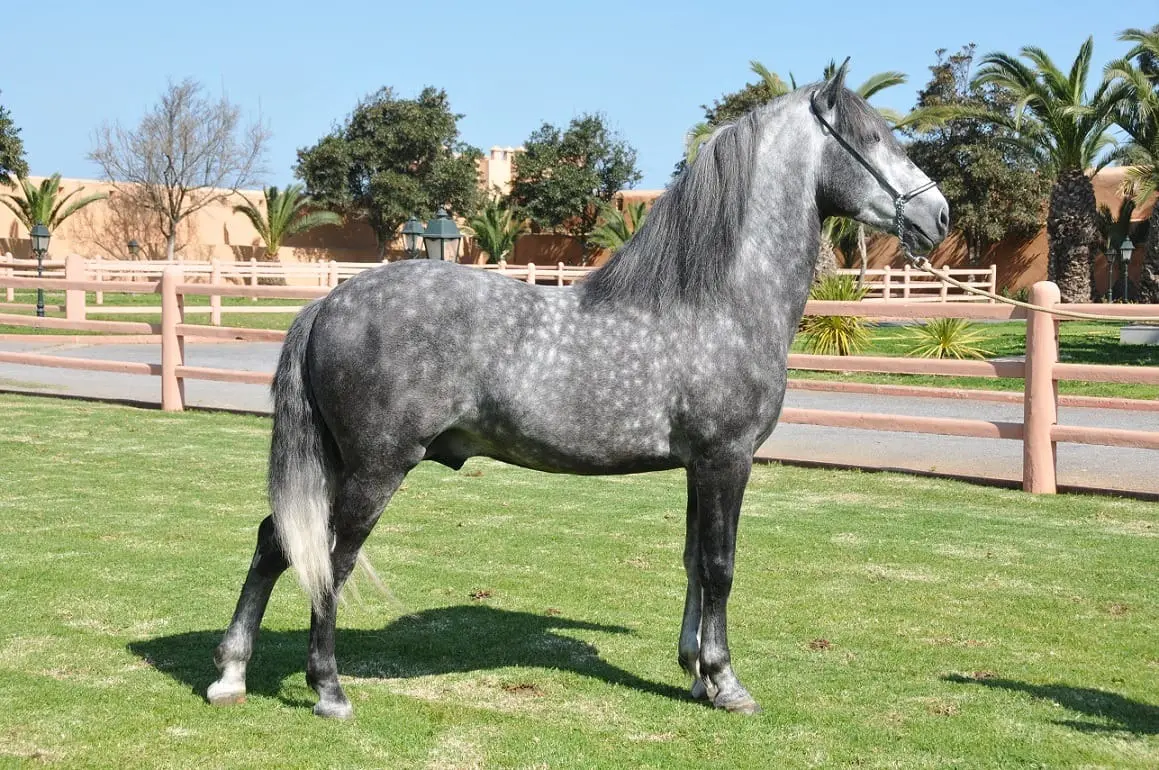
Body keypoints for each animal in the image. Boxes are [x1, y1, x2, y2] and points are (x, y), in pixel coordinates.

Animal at [206, 61, 949, 719]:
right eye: (873, 137)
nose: (938, 217)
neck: (716, 303)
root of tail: (327, 304)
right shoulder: (726, 460)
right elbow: (719, 566)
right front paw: (726, 682)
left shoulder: (697, 468)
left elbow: (690, 561)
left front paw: (694, 673)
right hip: (375, 467)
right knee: (332, 559)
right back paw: (329, 690)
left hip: (337, 463)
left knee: (276, 541)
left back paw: (232, 674)